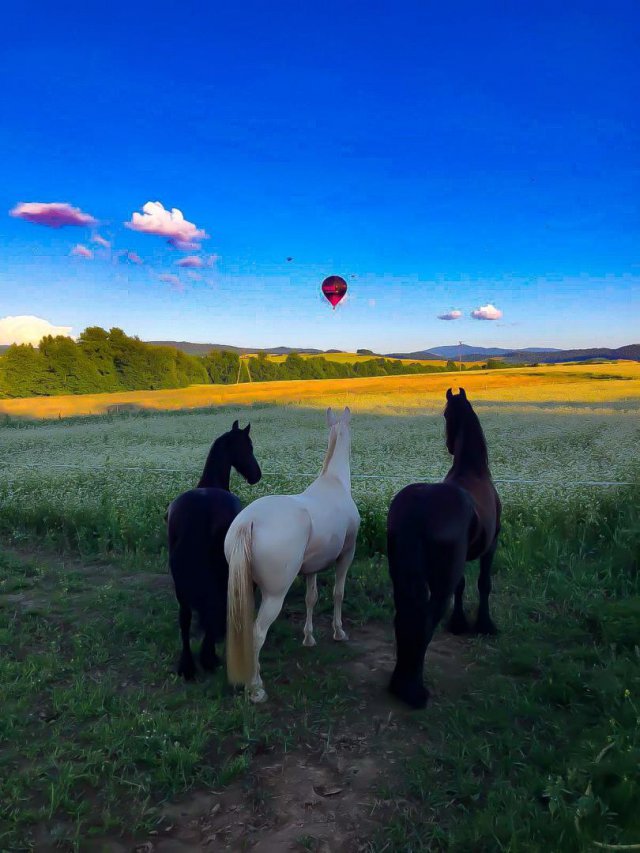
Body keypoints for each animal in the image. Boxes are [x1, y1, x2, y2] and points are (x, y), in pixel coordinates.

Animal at [224, 410, 360, 704]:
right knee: (257, 633)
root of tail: (248, 522)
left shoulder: (311, 568)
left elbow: (311, 598)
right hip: (275, 595)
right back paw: (256, 688)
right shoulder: (346, 555)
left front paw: (309, 638)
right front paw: (339, 632)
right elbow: (338, 593)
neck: (334, 483)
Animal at [384, 386, 500, 704]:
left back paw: (400, 683)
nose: (449, 445)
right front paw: (484, 625)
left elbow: (464, 586)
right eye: (446, 414)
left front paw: (459, 623)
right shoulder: (491, 547)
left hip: (401, 577)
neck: (472, 470)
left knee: (404, 618)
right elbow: (483, 584)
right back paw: (414, 690)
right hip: (439, 582)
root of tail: (418, 508)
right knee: (425, 621)